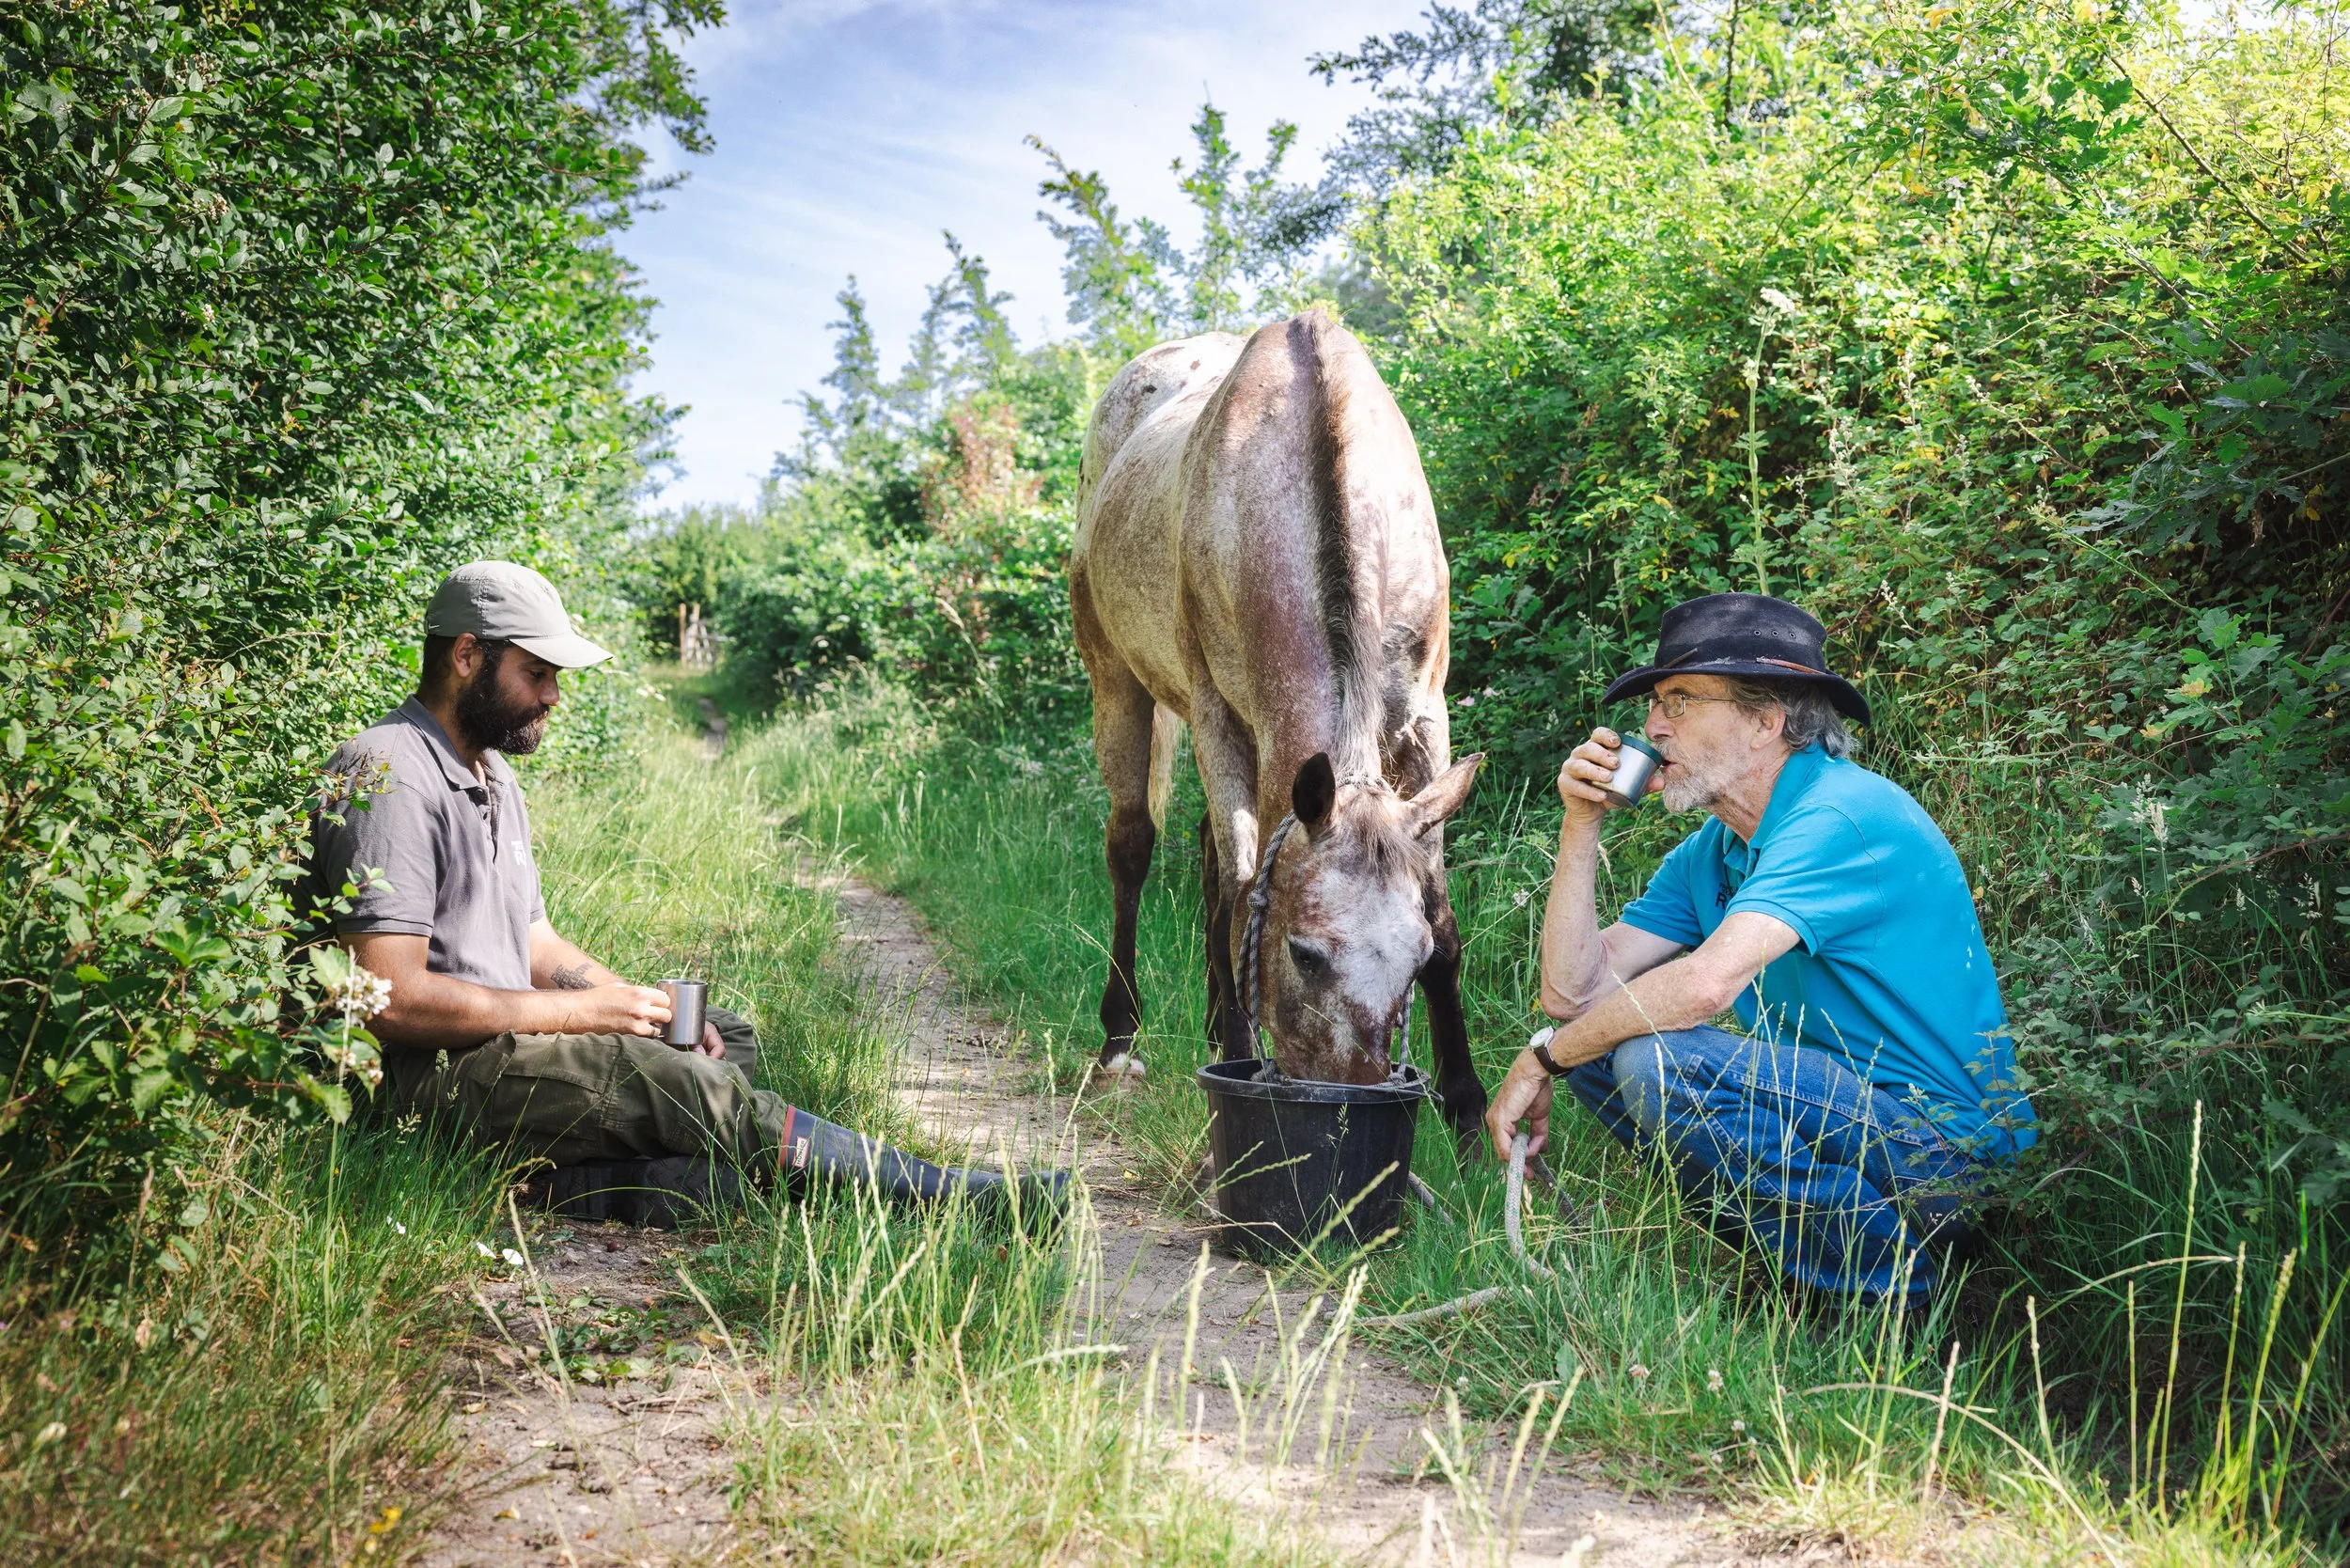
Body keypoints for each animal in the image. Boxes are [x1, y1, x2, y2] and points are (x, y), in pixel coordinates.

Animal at [1067, 307, 1488, 1150]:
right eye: (1305, 953)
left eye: (1415, 957)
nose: (1347, 1100)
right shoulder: (1220, 716)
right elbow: (1240, 891)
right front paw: (1235, 1069)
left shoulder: (1426, 717)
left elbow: (1444, 910)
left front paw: (1466, 1110)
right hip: (1119, 682)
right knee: (1133, 846)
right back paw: (1121, 1041)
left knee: (1200, 847)